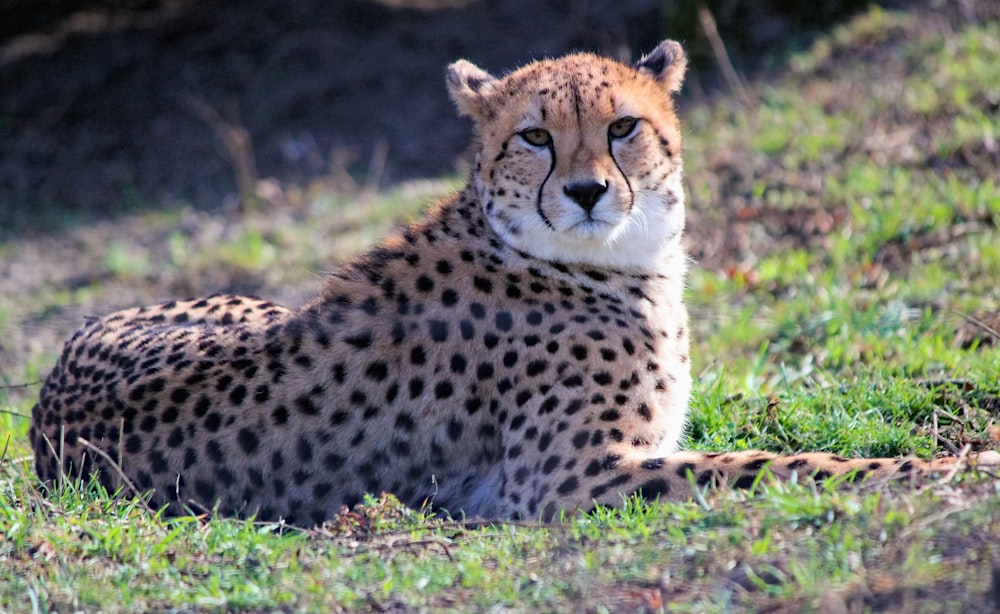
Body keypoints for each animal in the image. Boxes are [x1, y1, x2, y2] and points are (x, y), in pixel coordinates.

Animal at [27, 42, 996, 524]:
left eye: (622, 126)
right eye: (534, 136)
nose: (587, 190)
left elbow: (769, 450)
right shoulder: (568, 479)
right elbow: (783, 466)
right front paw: (950, 466)